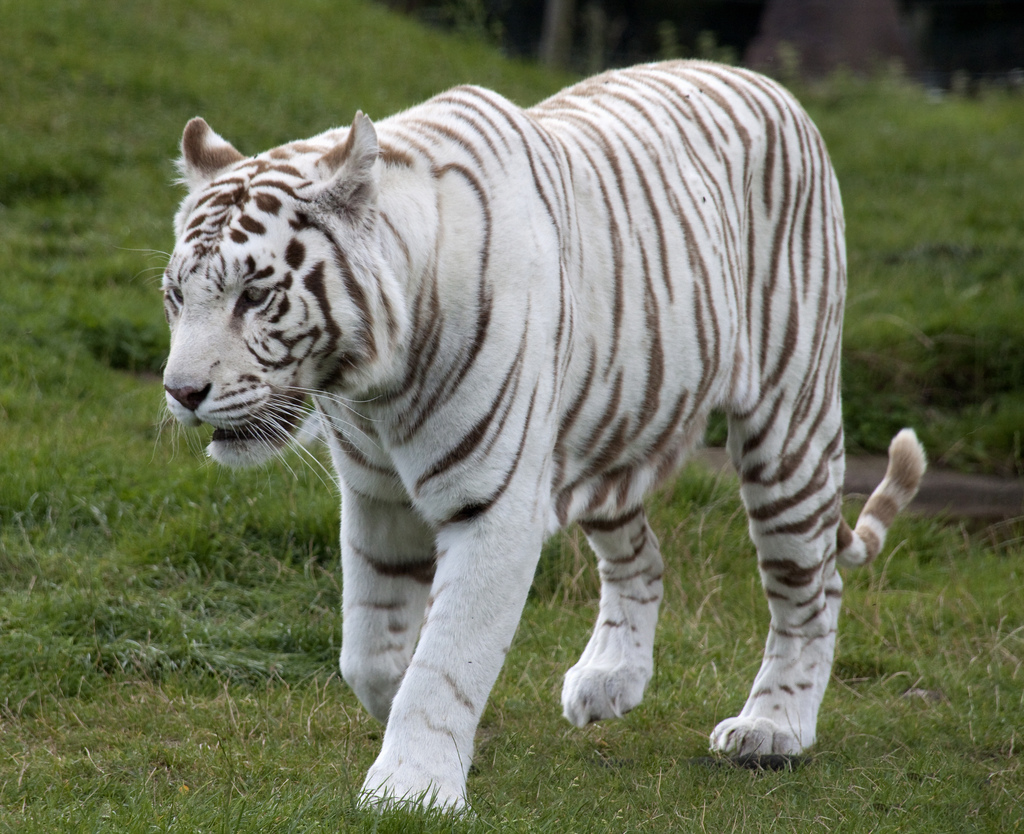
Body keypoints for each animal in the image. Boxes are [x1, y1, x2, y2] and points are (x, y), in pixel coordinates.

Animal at [161, 60, 926, 810]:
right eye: (175, 296)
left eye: (254, 295)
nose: (181, 392)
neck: (372, 389)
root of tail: (767, 83)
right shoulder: (377, 498)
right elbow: (370, 654)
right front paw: (437, 739)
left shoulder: (492, 504)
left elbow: (447, 655)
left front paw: (411, 786)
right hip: (607, 432)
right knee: (643, 559)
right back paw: (612, 680)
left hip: (787, 426)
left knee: (811, 589)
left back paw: (773, 728)